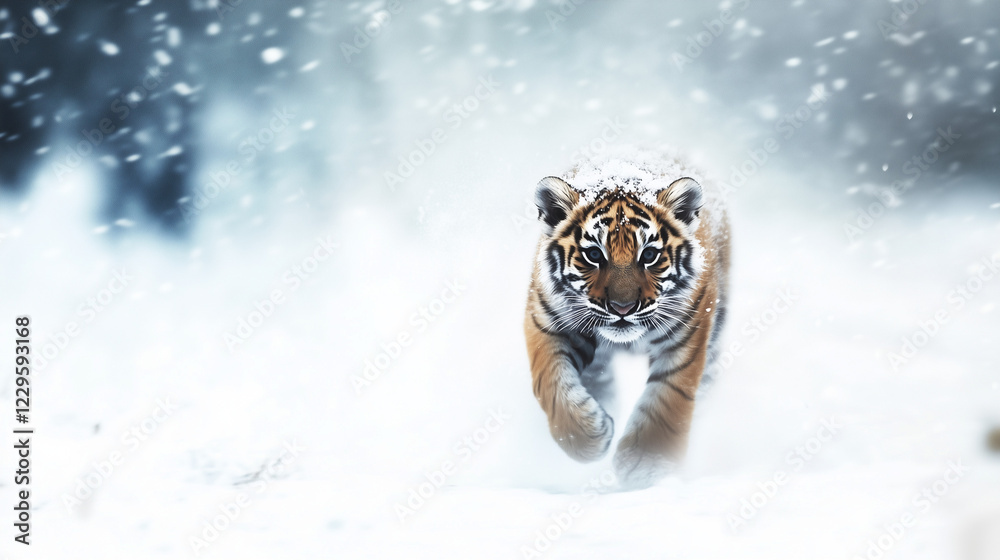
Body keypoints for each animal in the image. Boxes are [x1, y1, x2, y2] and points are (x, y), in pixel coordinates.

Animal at [523, 146, 730, 489]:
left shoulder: (686, 332)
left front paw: (647, 465)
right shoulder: (549, 322)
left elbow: (670, 394)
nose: (622, 307)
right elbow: (550, 382)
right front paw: (588, 437)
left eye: (649, 255)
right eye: (594, 254)